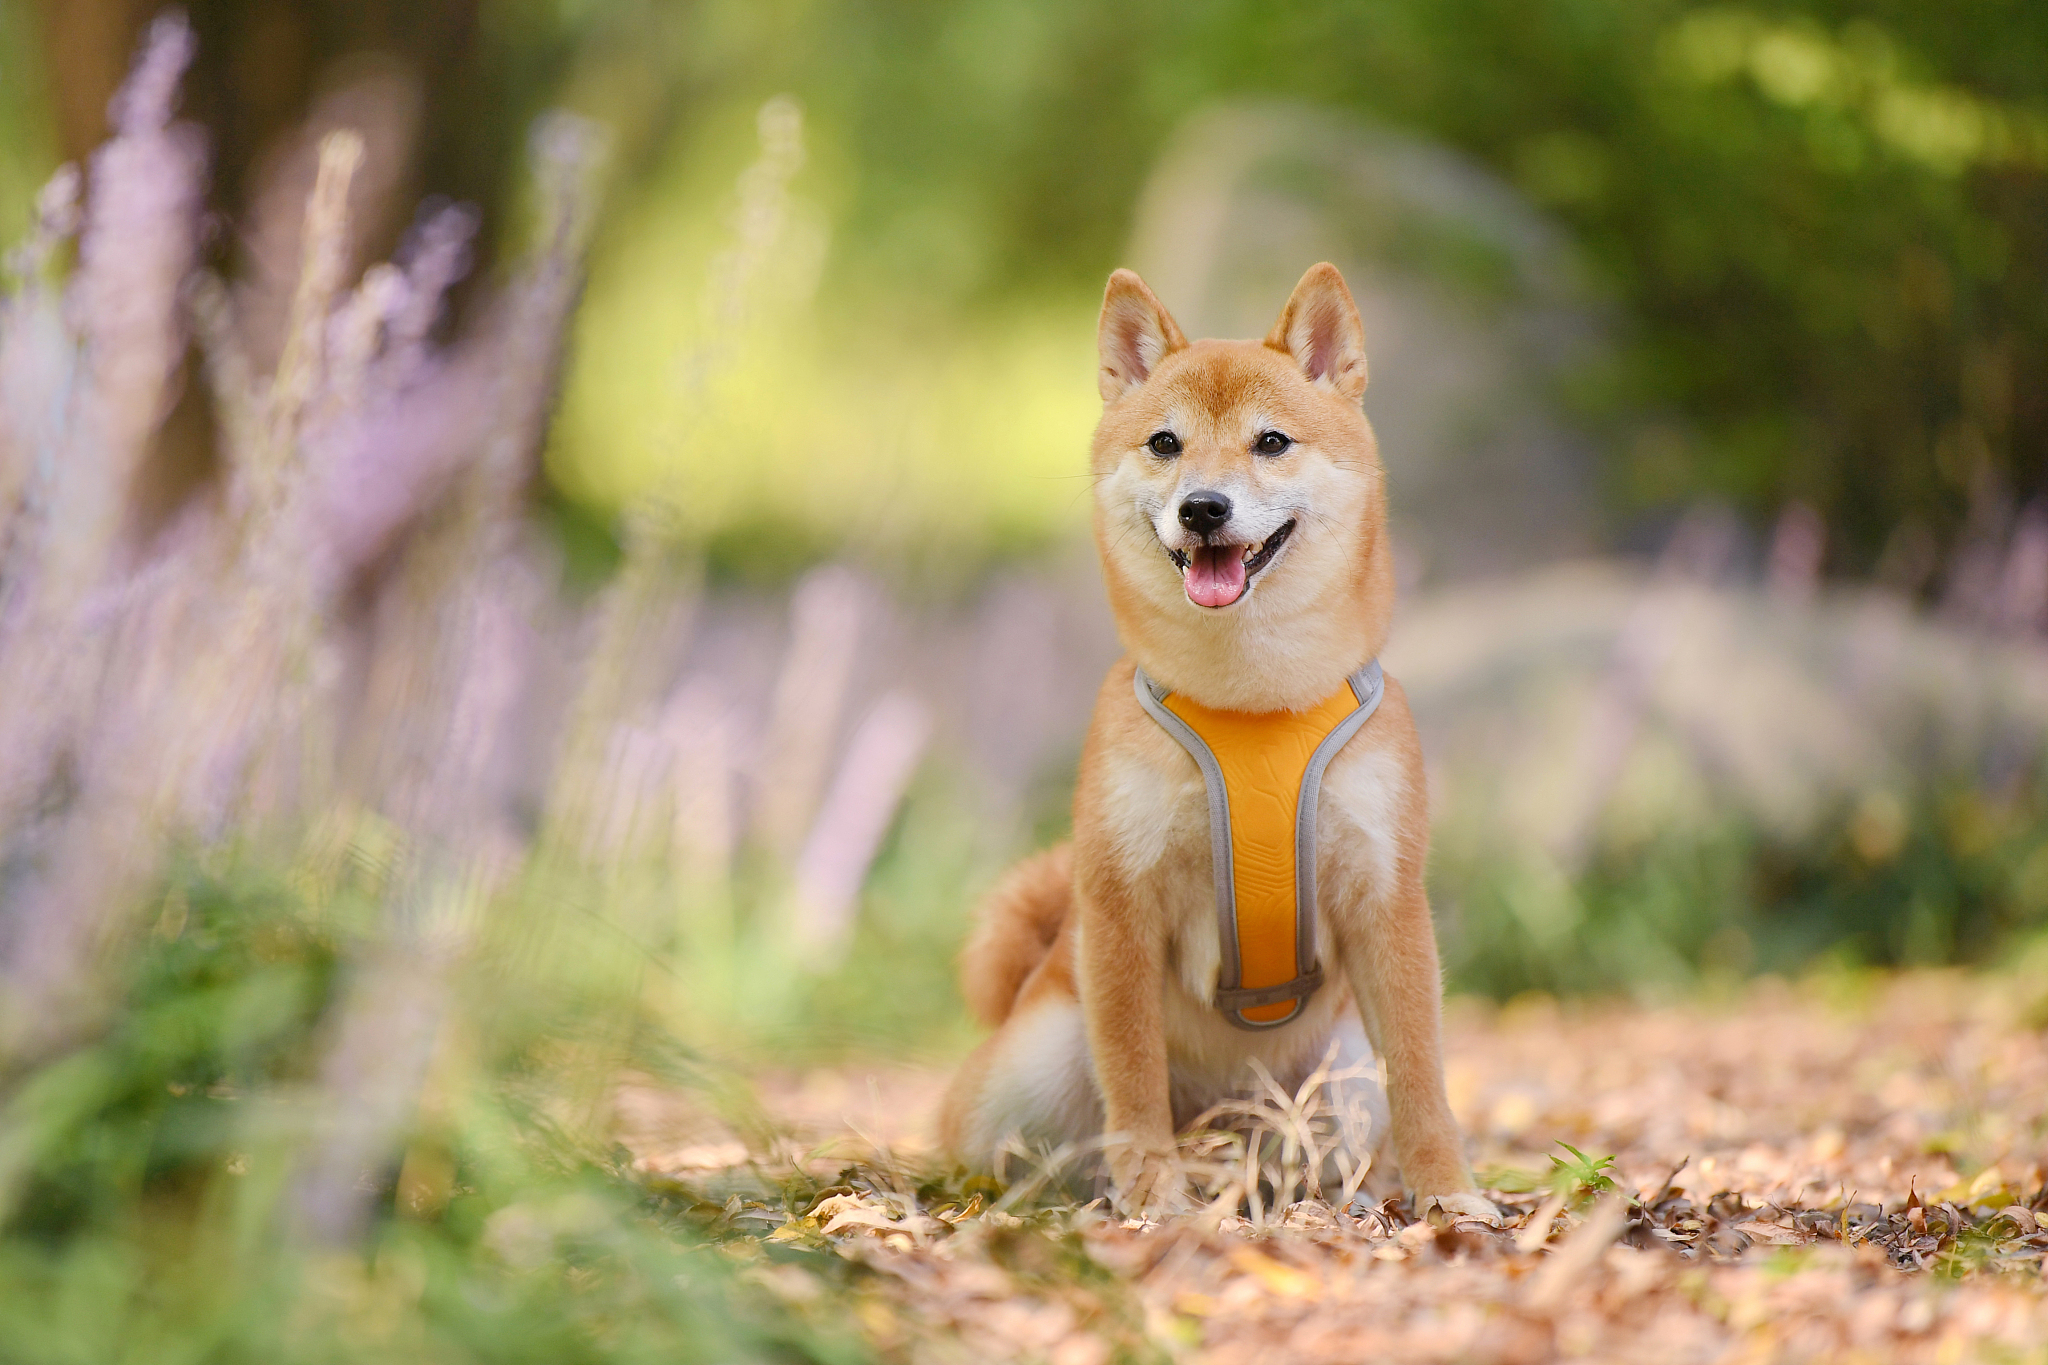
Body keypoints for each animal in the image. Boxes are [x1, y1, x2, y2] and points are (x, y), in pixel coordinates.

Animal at [937, 261, 1499, 1219]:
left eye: (1271, 442)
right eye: (1165, 444)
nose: (1204, 507)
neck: (1252, 700)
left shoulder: (1387, 899)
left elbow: (1424, 1077)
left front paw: (1447, 1193)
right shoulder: (1119, 905)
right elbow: (1132, 1076)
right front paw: (1152, 1193)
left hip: (1341, 1083)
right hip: (1033, 1061)